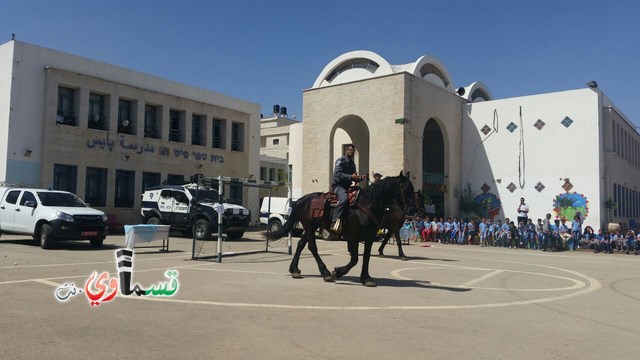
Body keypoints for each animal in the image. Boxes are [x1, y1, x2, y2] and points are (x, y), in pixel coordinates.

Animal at [264, 172, 416, 286]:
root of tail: (300, 200)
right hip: (308, 225)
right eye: (406, 190)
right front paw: (337, 272)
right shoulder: (353, 238)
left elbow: (366, 257)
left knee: (301, 244)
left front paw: (366, 278)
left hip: (312, 227)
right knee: (312, 247)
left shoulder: (369, 238)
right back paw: (325, 273)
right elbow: (354, 259)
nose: (412, 211)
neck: (367, 205)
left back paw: (294, 270)